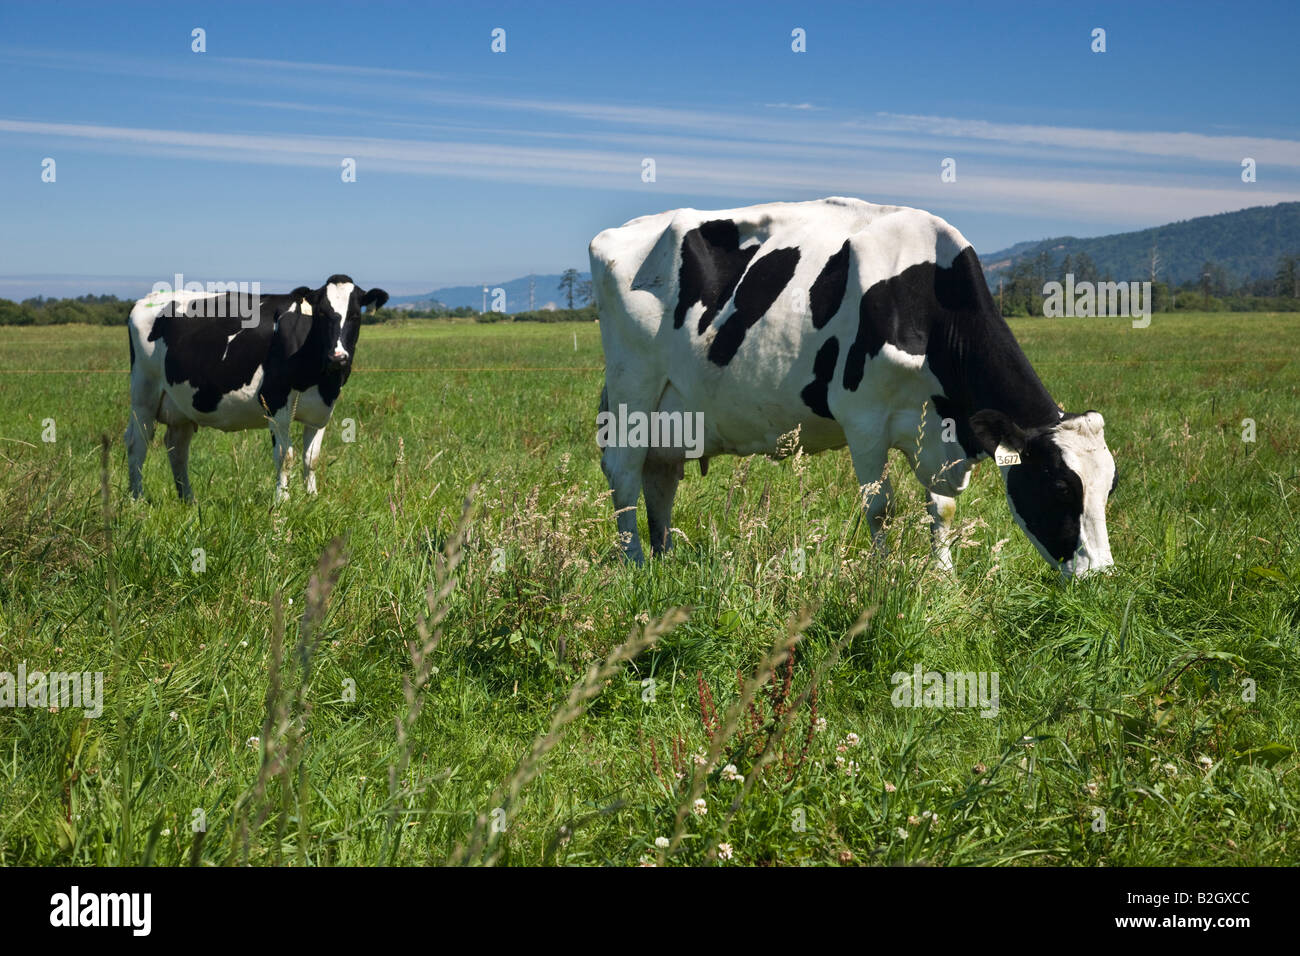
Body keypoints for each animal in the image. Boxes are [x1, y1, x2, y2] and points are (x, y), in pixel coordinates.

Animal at [125, 275, 388, 501]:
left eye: (355, 315)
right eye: (322, 313)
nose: (338, 357)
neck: (319, 378)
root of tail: (146, 300)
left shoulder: (322, 410)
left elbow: (311, 458)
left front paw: (312, 498)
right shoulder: (275, 403)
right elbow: (285, 456)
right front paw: (282, 501)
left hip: (182, 405)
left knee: (177, 448)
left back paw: (188, 499)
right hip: (143, 393)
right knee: (138, 443)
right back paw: (137, 499)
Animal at [589, 198, 1117, 578]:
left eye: (1108, 488)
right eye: (1059, 486)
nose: (1102, 576)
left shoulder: (932, 429)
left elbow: (942, 508)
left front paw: (945, 578)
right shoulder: (862, 418)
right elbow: (880, 507)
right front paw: (883, 577)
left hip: (674, 413)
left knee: (659, 477)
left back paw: (664, 559)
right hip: (633, 389)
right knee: (624, 474)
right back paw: (635, 564)